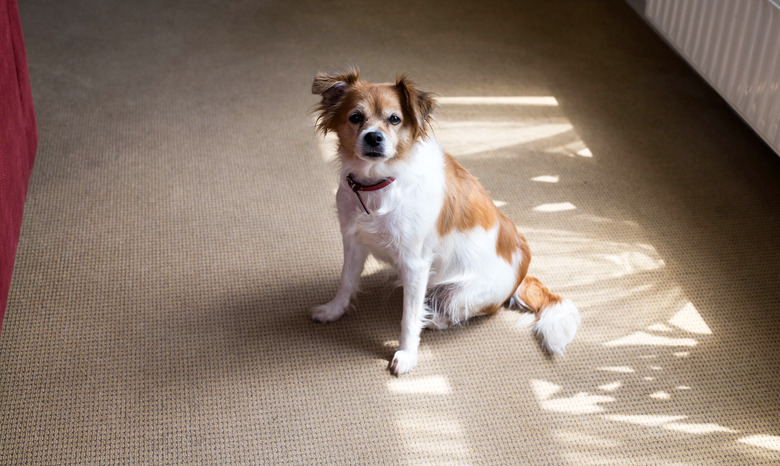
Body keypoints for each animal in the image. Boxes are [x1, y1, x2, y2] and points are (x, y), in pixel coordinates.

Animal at [310, 68, 580, 374]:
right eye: (356, 117)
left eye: (394, 119)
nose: (374, 137)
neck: (379, 182)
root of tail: (522, 271)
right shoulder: (354, 242)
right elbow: (346, 282)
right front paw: (333, 310)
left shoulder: (415, 265)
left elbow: (409, 318)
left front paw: (407, 354)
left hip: (460, 293)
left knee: (477, 309)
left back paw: (436, 320)